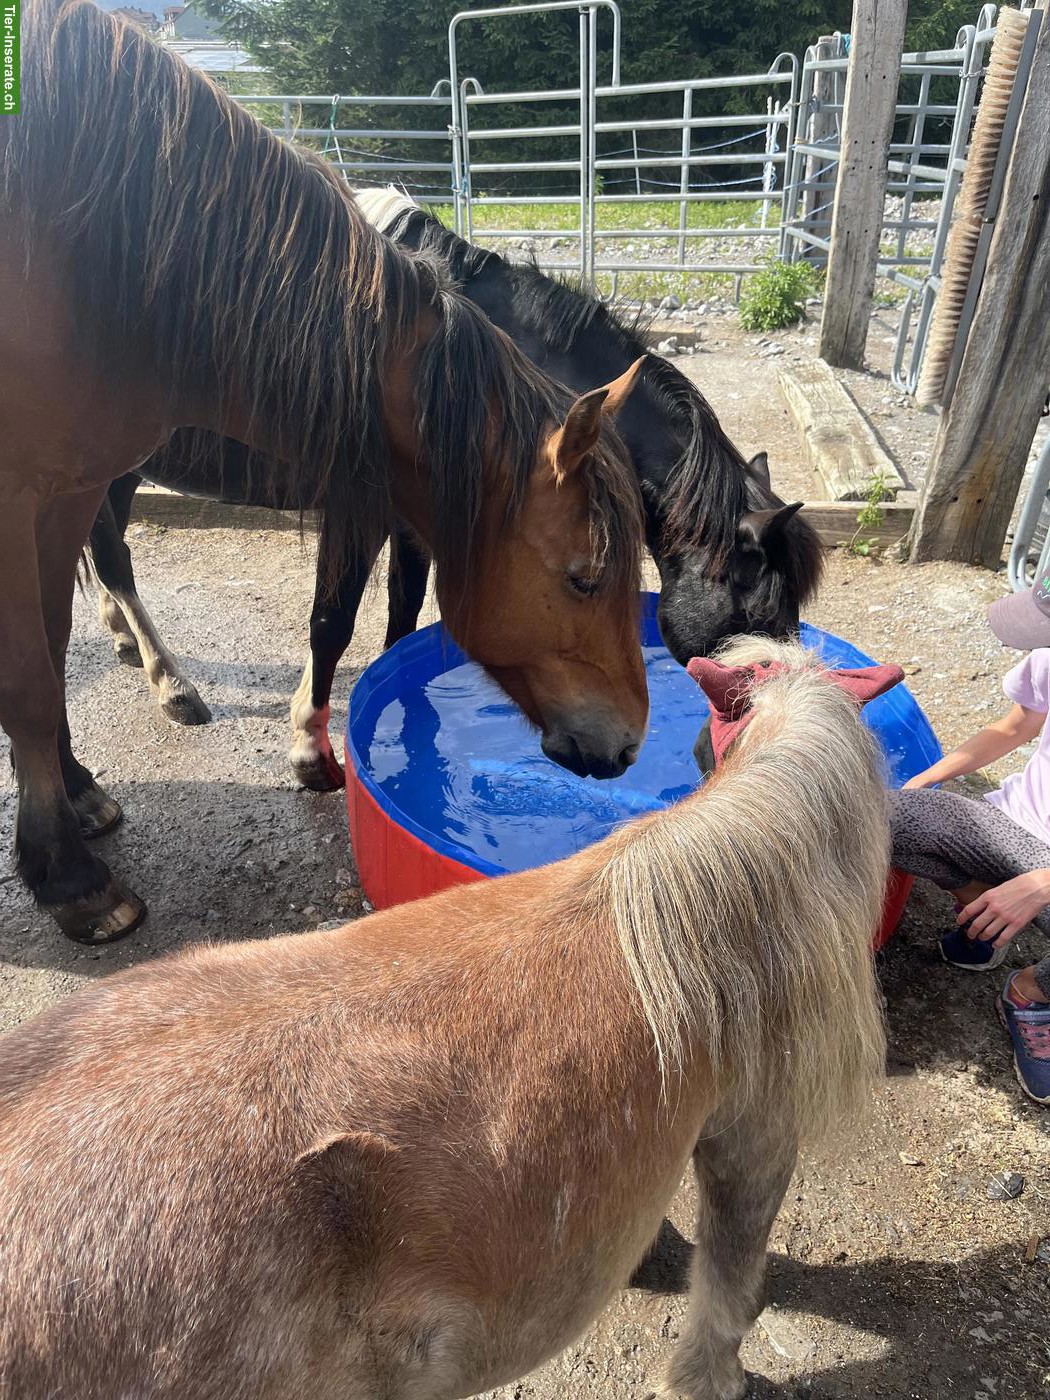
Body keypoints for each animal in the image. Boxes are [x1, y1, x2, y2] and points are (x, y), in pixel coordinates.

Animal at [0, 0, 650, 945]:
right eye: (586, 577)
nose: (632, 741)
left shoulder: (62, 489)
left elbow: (50, 658)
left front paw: (78, 801)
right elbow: (34, 677)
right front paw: (69, 876)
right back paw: (167, 686)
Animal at [84, 189, 825, 792]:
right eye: (756, 619)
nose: (718, 749)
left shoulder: (426, 520)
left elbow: (404, 610)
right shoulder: (364, 508)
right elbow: (333, 621)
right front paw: (310, 752)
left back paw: (124, 639)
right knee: (113, 554)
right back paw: (172, 686)